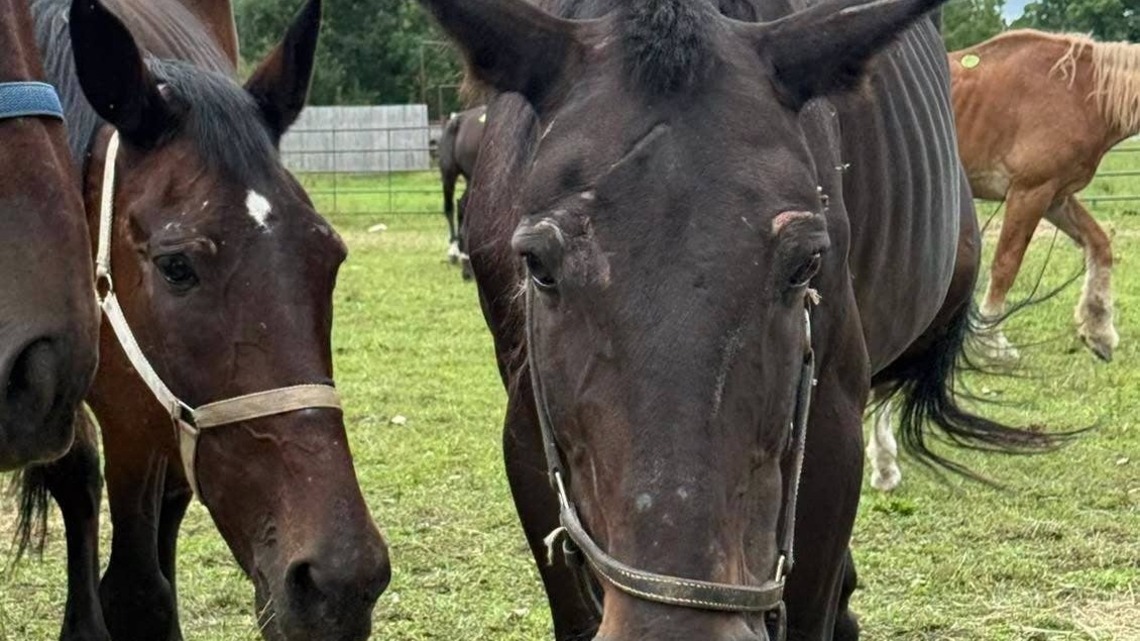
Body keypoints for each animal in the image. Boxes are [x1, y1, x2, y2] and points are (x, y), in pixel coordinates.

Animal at [865, 29, 1139, 492]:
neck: (1079, 90)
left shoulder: (1056, 196)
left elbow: (1099, 245)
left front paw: (1098, 330)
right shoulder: (1030, 191)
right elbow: (1007, 266)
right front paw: (992, 342)